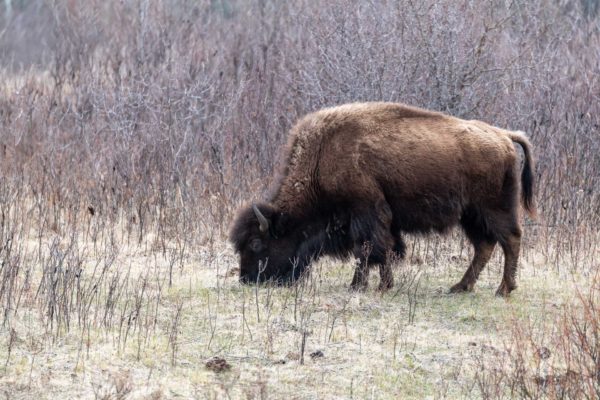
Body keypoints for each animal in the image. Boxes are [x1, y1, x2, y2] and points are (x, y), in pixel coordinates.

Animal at [230, 103, 536, 296]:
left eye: (256, 243)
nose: (247, 279)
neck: (323, 156)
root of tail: (504, 135)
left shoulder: (366, 212)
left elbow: (370, 249)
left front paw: (371, 286)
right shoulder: (369, 220)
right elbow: (378, 250)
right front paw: (370, 285)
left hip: (493, 208)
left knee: (510, 239)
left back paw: (503, 290)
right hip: (470, 215)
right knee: (484, 246)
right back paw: (460, 287)